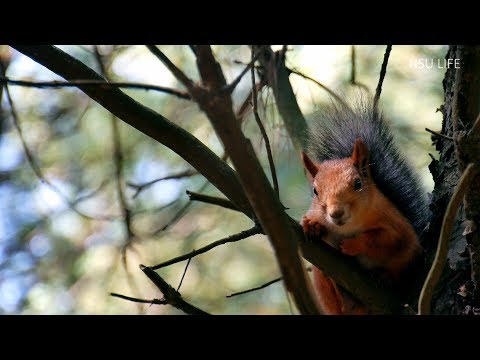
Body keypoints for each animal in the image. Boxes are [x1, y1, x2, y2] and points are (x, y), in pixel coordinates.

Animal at [302, 99, 430, 316]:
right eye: (315, 191)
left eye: (358, 183)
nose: (336, 213)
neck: (349, 226)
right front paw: (312, 225)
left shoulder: (396, 226)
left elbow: (383, 239)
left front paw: (352, 244)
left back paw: (383, 278)